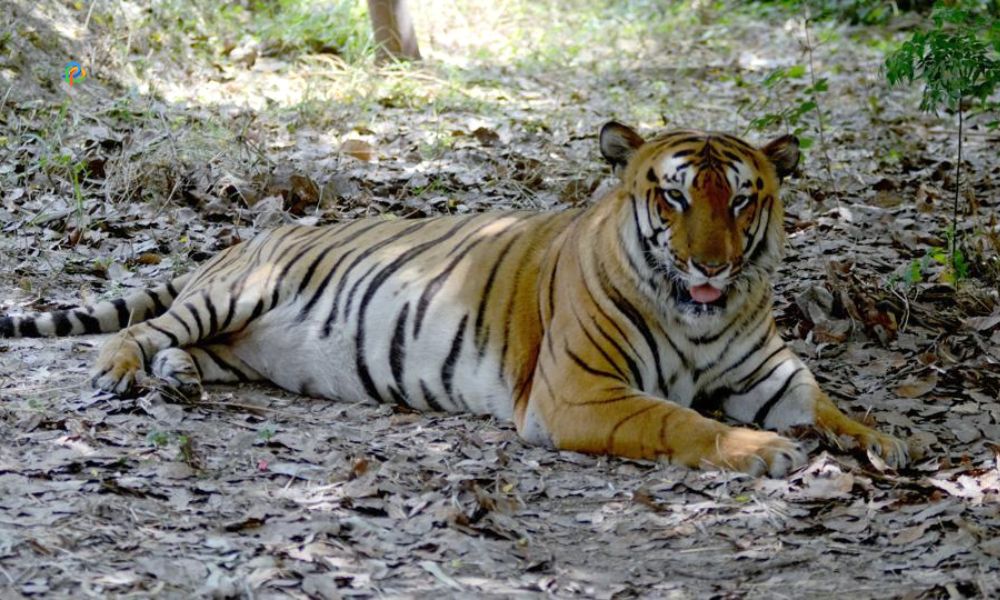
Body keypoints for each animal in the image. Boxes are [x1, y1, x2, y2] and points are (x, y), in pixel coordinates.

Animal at [0, 123, 908, 478]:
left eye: (743, 200)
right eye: (677, 199)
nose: (711, 263)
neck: (701, 316)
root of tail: (235, 241)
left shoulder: (770, 377)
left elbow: (832, 408)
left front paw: (898, 442)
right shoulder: (580, 392)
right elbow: (679, 420)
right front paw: (762, 450)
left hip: (239, 343)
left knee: (186, 350)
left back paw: (179, 379)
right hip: (232, 295)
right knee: (144, 330)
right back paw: (124, 373)